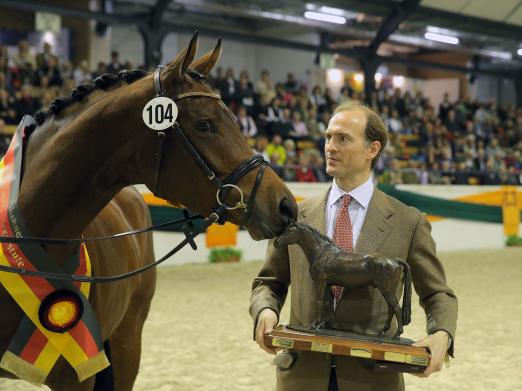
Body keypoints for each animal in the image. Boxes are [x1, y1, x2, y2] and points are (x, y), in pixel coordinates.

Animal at [274, 224, 408, 340]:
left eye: (290, 230)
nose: (276, 242)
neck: (322, 253)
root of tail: (394, 261)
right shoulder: (327, 284)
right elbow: (327, 302)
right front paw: (323, 325)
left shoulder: (321, 282)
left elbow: (319, 301)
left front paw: (315, 324)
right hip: (387, 290)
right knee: (391, 309)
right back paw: (383, 333)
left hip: (387, 289)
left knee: (396, 308)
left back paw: (397, 335)